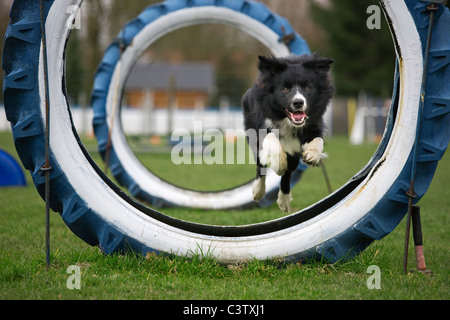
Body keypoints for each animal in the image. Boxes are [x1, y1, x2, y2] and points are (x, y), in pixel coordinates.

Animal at [243, 53, 334, 211]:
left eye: (307, 87)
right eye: (284, 89)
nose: (298, 103)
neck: (288, 122)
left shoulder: (313, 123)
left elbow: (318, 140)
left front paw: (312, 156)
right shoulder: (261, 123)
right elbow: (271, 139)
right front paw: (280, 164)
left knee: (289, 171)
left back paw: (284, 201)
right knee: (261, 165)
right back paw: (258, 192)